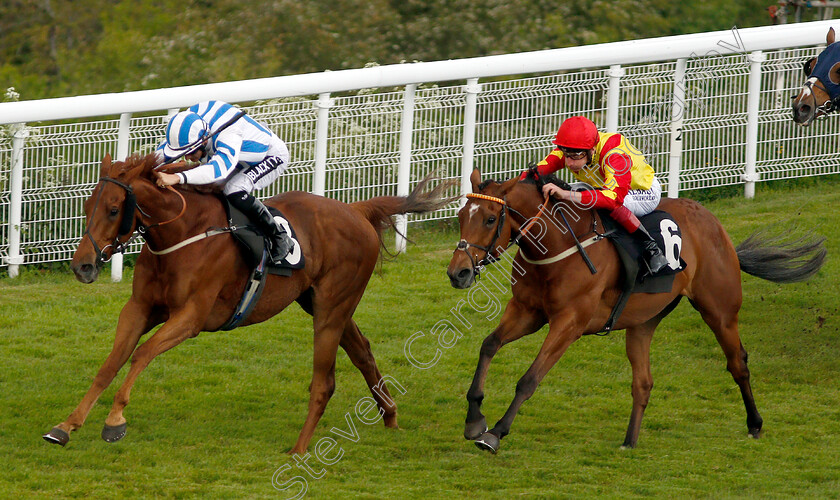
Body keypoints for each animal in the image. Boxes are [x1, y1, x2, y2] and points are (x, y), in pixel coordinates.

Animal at [42, 152, 456, 454]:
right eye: (87, 207)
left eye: (114, 210)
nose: (82, 266)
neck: (182, 234)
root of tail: (355, 212)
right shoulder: (140, 308)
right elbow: (110, 363)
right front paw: (66, 425)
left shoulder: (191, 318)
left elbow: (141, 354)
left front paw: (114, 422)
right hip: (322, 303)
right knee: (363, 353)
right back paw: (390, 417)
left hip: (331, 308)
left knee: (325, 381)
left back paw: (300, 449)